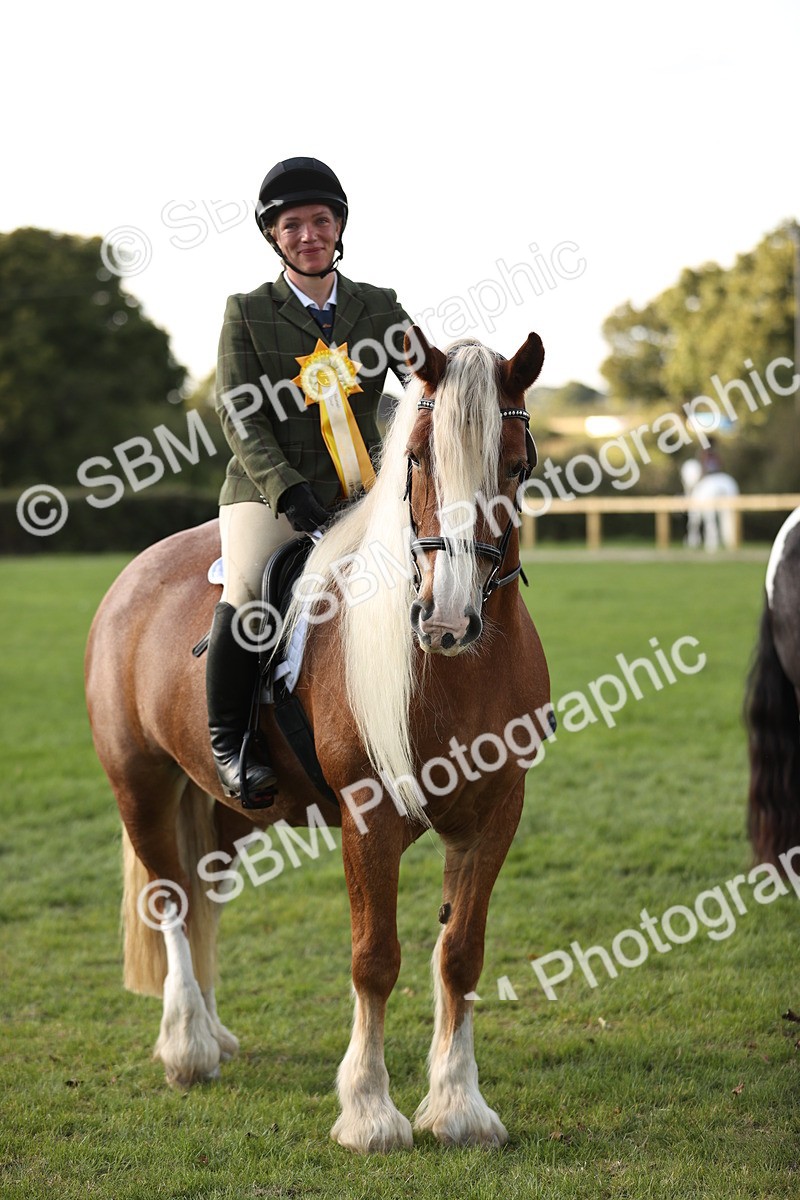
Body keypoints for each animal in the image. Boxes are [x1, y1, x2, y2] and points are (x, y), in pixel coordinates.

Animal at [85, 325, 552, 1153]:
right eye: (417, 457)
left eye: (517, 464)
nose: (447, 621)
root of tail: (136, 571)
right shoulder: (369, 817)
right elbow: (376, 958)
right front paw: (369, 1112)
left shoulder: (496, 812)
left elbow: (460, 956)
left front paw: (459, 1107)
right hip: (139, 784)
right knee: (171, 898)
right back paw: (188, 1046)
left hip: (226, 809)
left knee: (201, 894)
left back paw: (212, 1032)